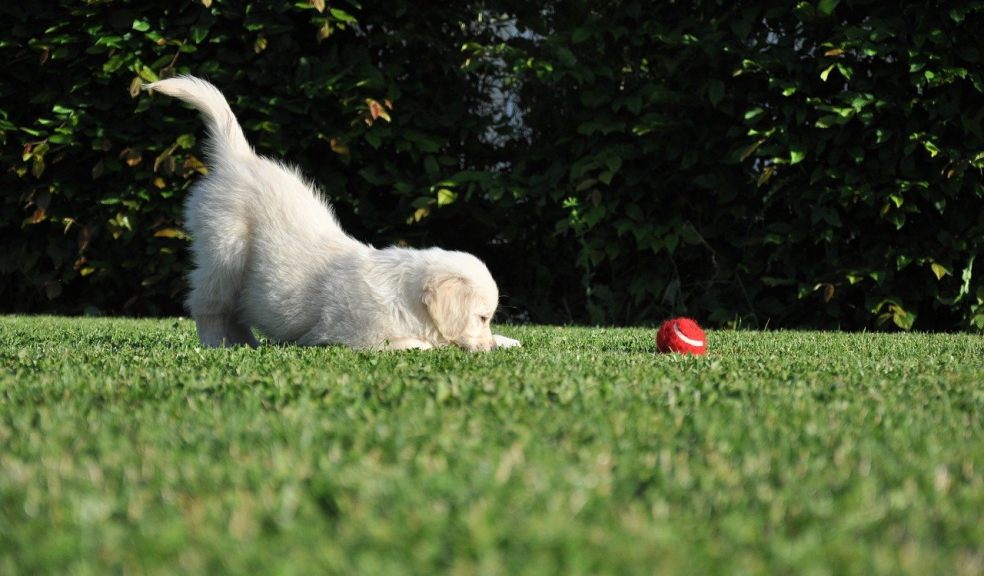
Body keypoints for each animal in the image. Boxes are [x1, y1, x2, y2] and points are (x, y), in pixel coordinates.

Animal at [144, 76, 524, 352]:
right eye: (482, 316)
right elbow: (419, 345)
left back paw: (247, 345)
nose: (488, 349)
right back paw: (217, 344)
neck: (406, 298)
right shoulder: (354, 336)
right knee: (207, 305)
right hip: (224, 252)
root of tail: (239, 158)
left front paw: (507, 341)